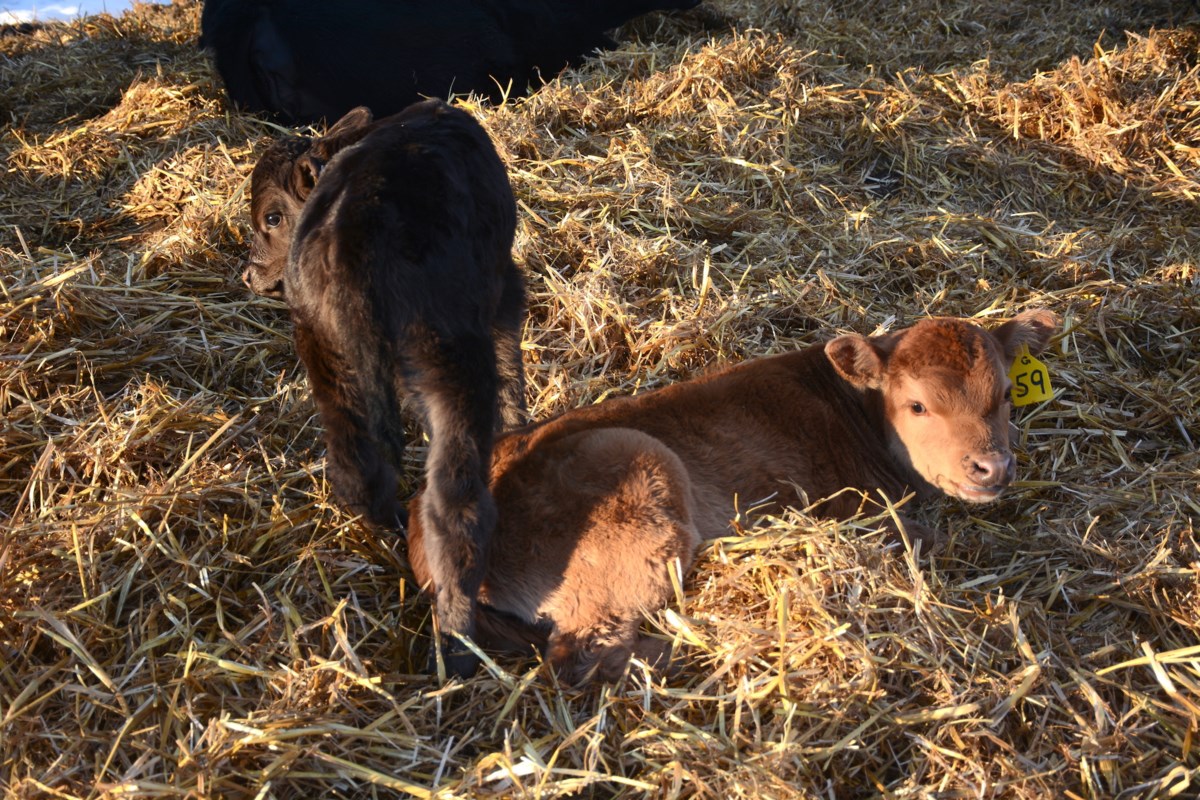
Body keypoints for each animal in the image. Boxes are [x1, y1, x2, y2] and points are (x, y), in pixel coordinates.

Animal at [242, 100, 527, 678]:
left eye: (271, 218)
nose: (248, 274)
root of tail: (350, 240)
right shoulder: (505, 287)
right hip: (450, 360)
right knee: (454, 504)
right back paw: (459, 644)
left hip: (325, 356)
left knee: (357, 471)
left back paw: (388, 539)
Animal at [406, 311, 1058, 683]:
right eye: (918, 405)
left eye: (1006, 393)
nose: (992, 466)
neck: (856, 410)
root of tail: (422, 533)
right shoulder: (862, 511)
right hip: (639, 492)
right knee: (581, 655)